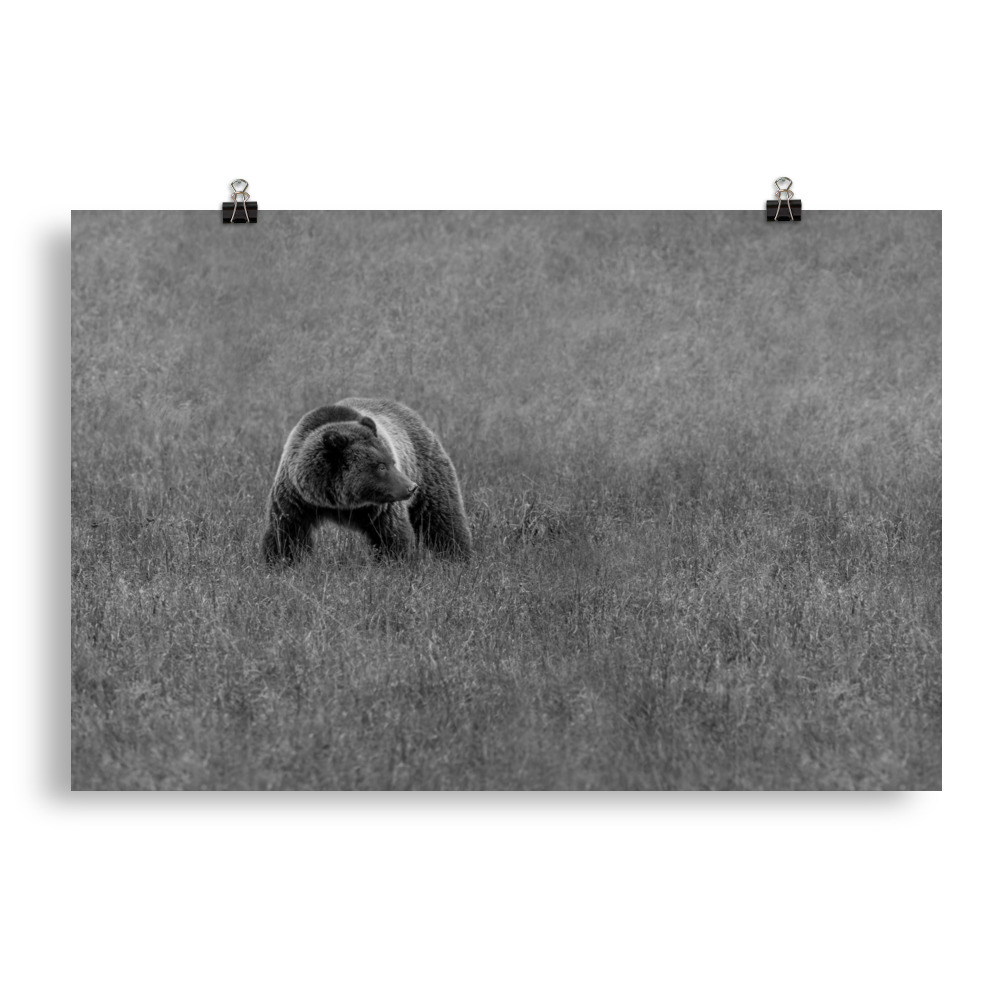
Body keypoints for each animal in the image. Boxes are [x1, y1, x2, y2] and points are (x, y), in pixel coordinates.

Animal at [261, 397, 472, 564]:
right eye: (381, 466)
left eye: (392, 461)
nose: (411, 487)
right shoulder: (296, 499)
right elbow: (287, 533)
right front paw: (281, 562)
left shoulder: (380, 507)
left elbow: (391, 534)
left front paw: (394, 563)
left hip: (427, 468)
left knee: (442, 516)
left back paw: (458, 557)